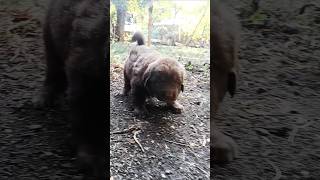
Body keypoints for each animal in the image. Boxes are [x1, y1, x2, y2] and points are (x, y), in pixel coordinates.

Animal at [34, 0, 107, 179]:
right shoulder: (86, 67)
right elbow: (88, 112)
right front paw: (93, 158)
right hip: (51, 30)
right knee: (54, 64)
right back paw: (44, 97)